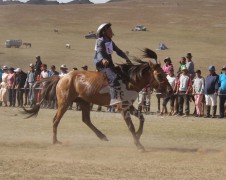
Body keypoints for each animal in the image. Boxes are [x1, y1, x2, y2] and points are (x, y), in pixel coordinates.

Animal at [23, 48, 173, 150]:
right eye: (160, 75)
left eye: (165, 73)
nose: (170, 90)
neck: (128, 80)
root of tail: (62, 77)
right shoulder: (122, 108)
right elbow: (131, 125)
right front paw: (139, 145)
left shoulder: (128, 106)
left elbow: (142, 118)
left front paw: (138, 135)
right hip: (64, 103)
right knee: (56, 120)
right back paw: (55, 141)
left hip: (83, 102)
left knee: (86, 120)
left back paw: (102, 136)